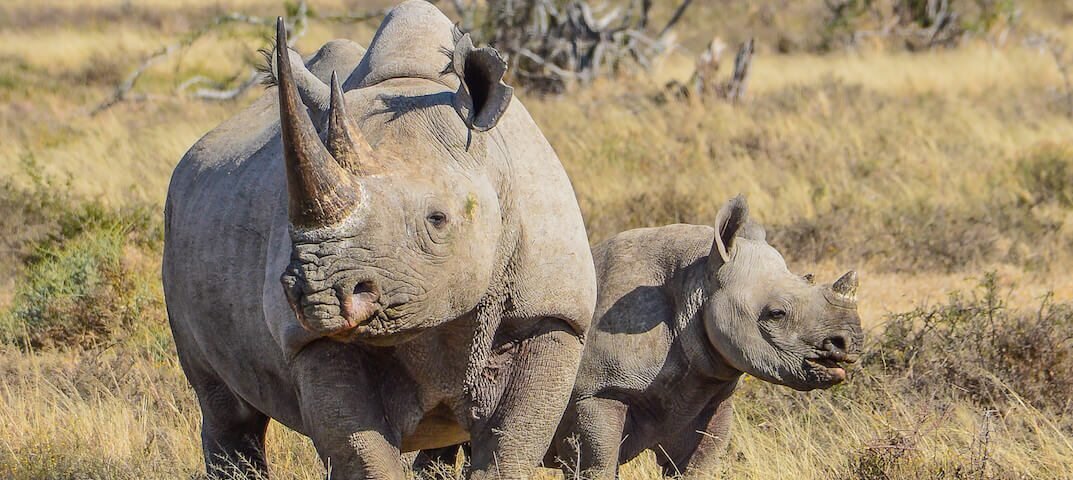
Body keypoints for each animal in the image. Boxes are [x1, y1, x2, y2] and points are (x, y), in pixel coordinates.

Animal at [161, 2, 596, 479]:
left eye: (437, 220)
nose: (320, 295)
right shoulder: (310, 340)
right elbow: (362, 453)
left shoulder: (553, 314)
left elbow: (509, 449)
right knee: (225, 407)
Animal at [418, 195, 864, 479]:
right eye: (776, 314)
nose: (849, 345)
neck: (698, 280)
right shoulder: (598, 391)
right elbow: (598, 463)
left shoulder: (712, 392)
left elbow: (696, 464)